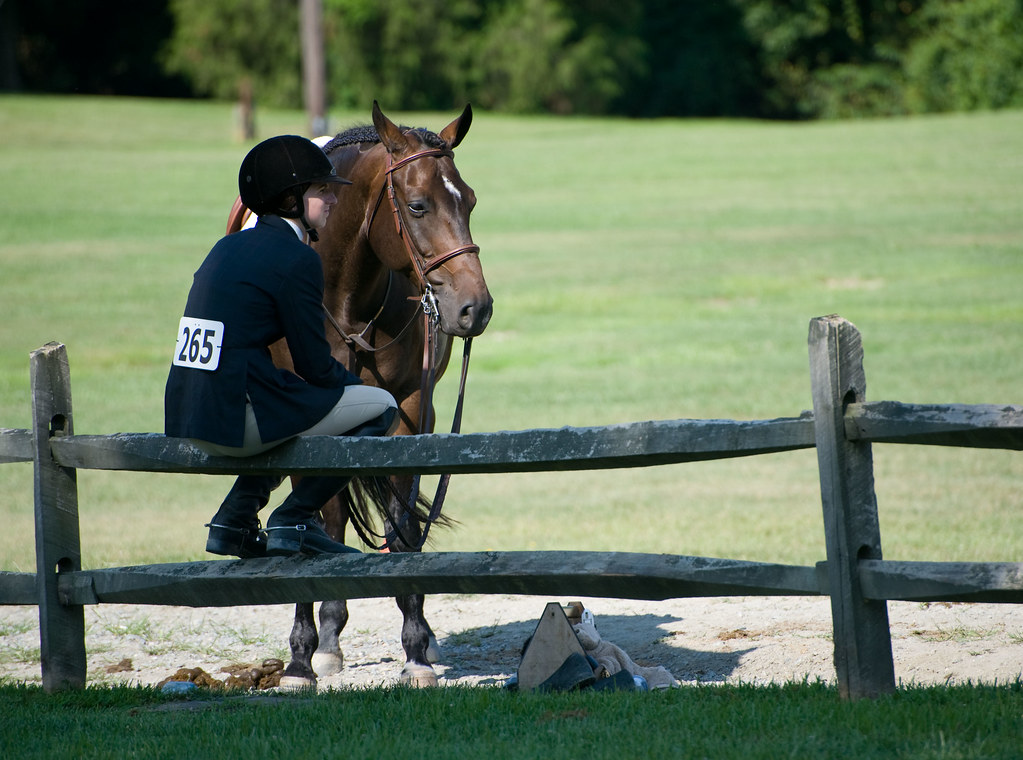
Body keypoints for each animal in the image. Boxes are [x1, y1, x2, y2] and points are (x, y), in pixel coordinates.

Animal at [228, 102, 492, 688]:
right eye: (417, 205)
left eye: (469, 200)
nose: (475, 308)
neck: (340, 299)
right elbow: (307, 522)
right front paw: (300, 657)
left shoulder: (411, 409)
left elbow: (401, 520)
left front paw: (416, 648)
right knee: (328, 515)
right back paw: (327, 637)